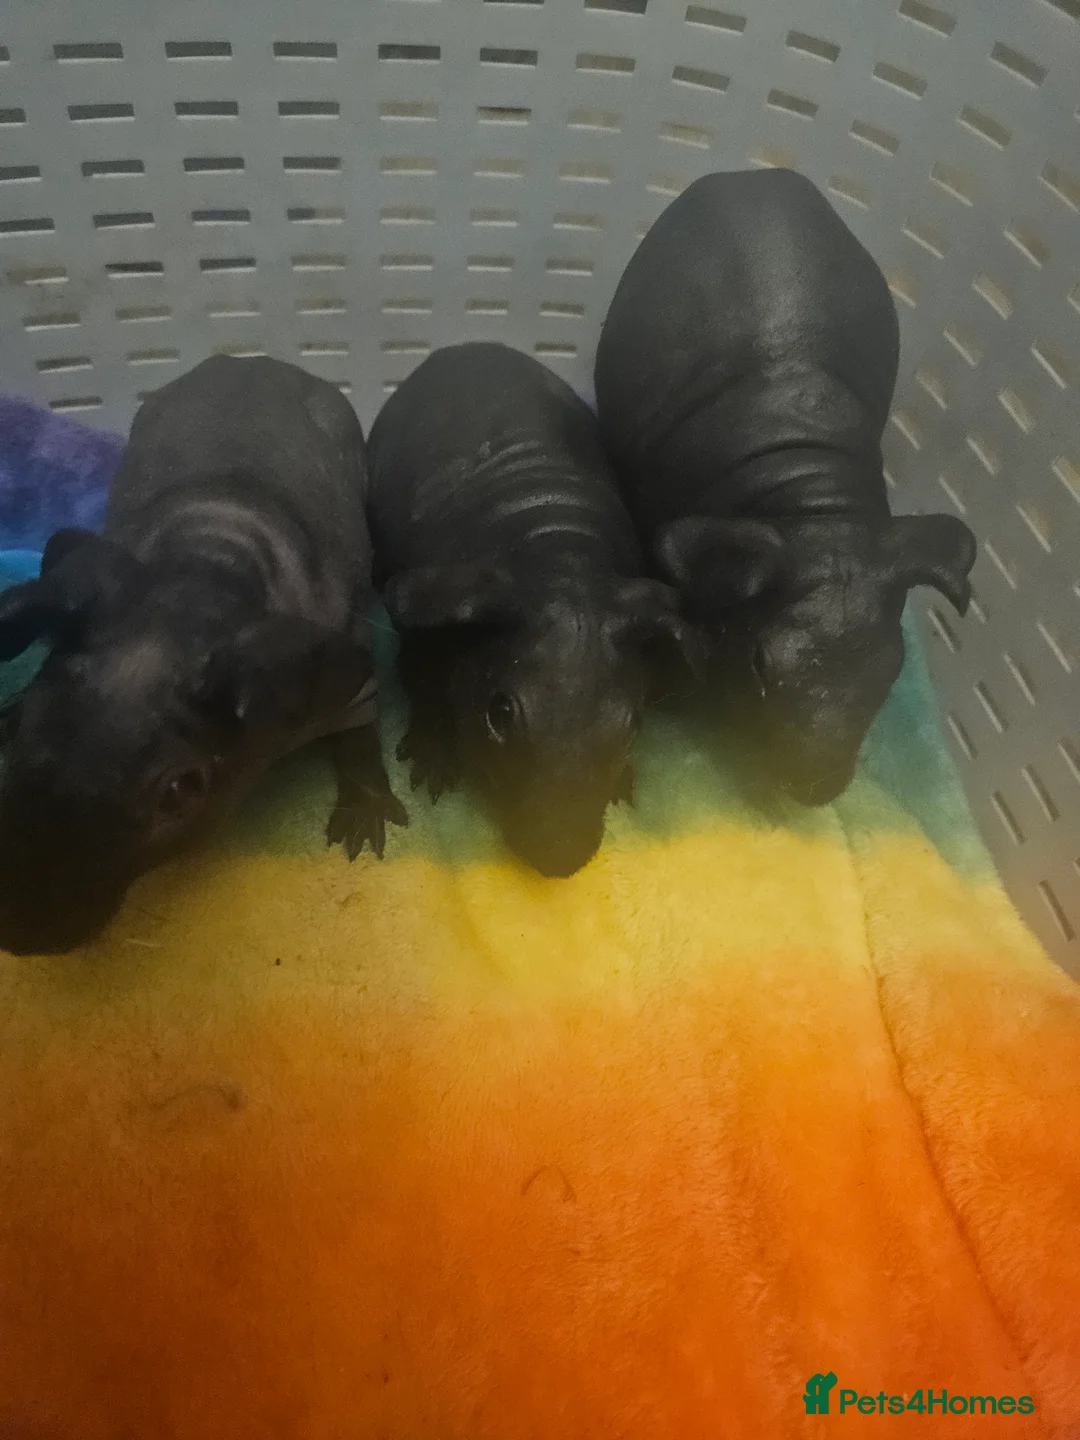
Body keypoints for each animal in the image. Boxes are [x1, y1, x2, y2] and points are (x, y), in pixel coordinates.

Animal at [0, 355, 406, 955]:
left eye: (179, 791)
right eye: (19, 724)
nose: (20, 931)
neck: (206, 559)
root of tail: (256, 361)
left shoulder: (346, 673)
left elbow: (358, 731)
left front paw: (366, 804)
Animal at [367, 341, 702, 877]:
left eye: (632, 724)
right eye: (500, 713)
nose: (562, 858)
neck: (559, 556)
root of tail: (463, 346)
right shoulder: (425, 633)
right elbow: (422, 684)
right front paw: (434, 756)